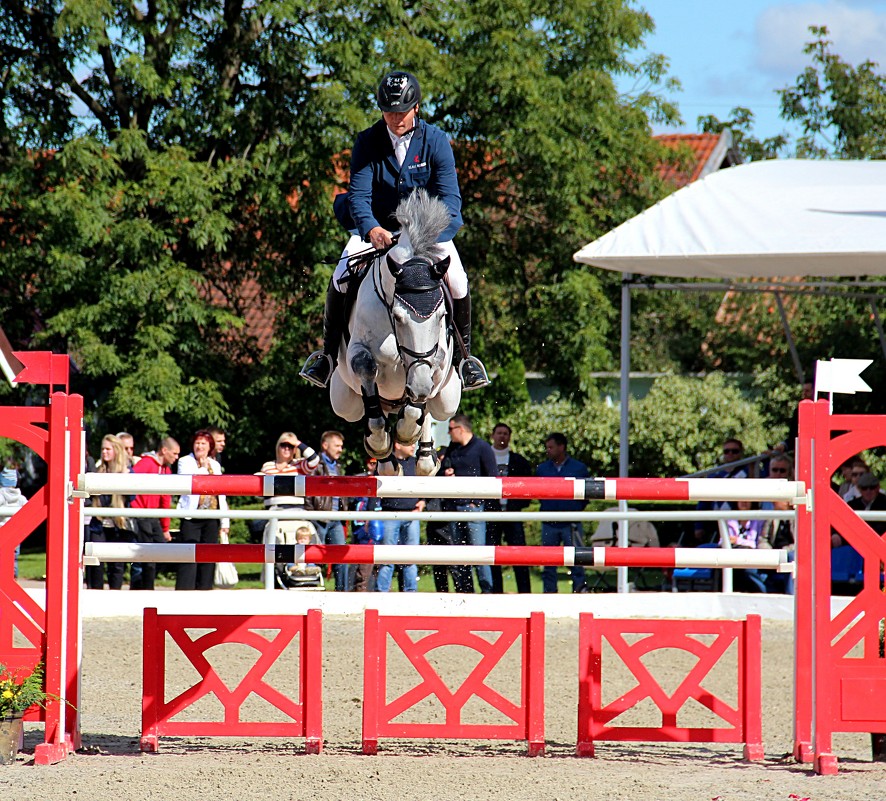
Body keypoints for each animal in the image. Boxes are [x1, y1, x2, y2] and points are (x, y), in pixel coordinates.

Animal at [330, 188, 462, 476]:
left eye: (441, 316)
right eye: (398, 317)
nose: (419, 388)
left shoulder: (436, 362)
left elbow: (420, 398)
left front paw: (407, 431)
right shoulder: (358, 352)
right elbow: (366, 368)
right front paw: (379, 443)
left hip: (448, 399)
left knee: (429, 411)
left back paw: (425, 455)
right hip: (344, 401)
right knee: (370, 408)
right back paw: (387, 460)